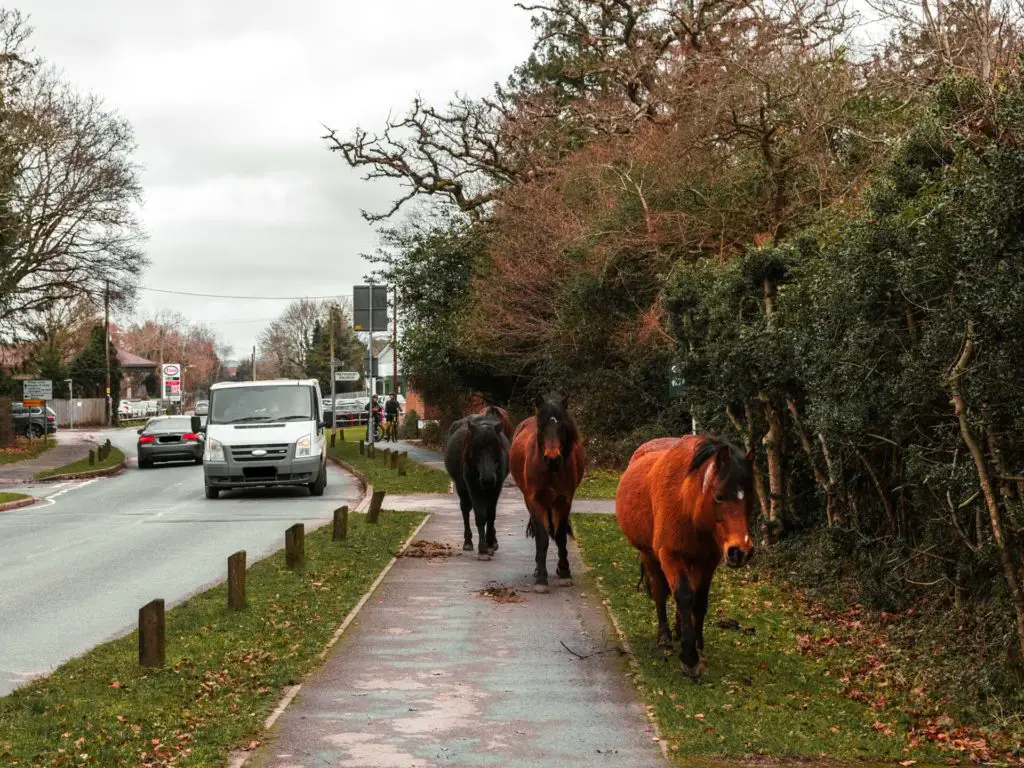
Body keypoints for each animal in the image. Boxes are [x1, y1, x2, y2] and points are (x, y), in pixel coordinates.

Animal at [448, 415, 512, 561]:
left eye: (495, 449)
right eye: (475, 450)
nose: (488, 479)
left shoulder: (496, 489)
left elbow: (491, 516)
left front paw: (490, 544)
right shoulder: (474, 488)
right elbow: (481, 516)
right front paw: (483, 549)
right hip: (462, 488)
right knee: (465, 509)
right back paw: (468, 542)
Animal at [509, 393, 585, 593]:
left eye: (562, 427)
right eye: (542, 428)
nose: (552, 459)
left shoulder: (564, 501)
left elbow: (560, 536)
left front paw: (565, 573)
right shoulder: (535, 501)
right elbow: (542, 538)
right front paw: (541, 578)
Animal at [610, 436, 757, 684]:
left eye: (751, 499)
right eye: (719, 496)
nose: (741, 551)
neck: (687, 502)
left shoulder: (708, 561)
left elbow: (699, 600)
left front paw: (696, 644)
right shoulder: (670, 556)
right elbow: (683, 595)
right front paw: (689, 659)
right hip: (649, 556)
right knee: (660, 592)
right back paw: (665, 638)